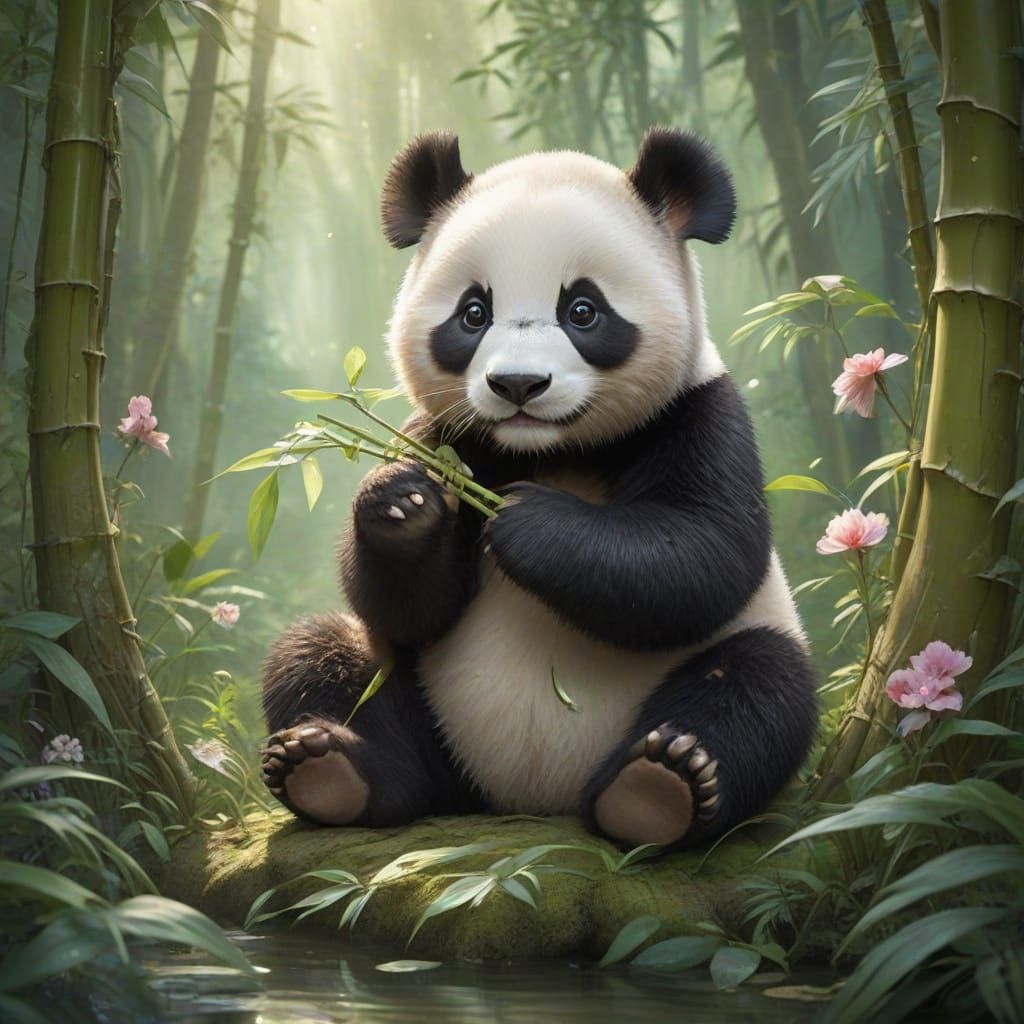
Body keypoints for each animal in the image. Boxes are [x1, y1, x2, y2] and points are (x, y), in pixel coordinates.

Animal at [260, 128, 818, 849]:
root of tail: (530, 801)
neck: (549, 451)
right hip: (434, 724)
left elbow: (704, 554)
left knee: (761, 685)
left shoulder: (698, 414)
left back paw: (660, 786)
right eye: (473, 313)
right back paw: (330, 768)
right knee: (328, 652)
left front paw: (528, 522)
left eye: (582, 310)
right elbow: (405, 607)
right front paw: (403, 503)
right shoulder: (446, 435)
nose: (518, 384)